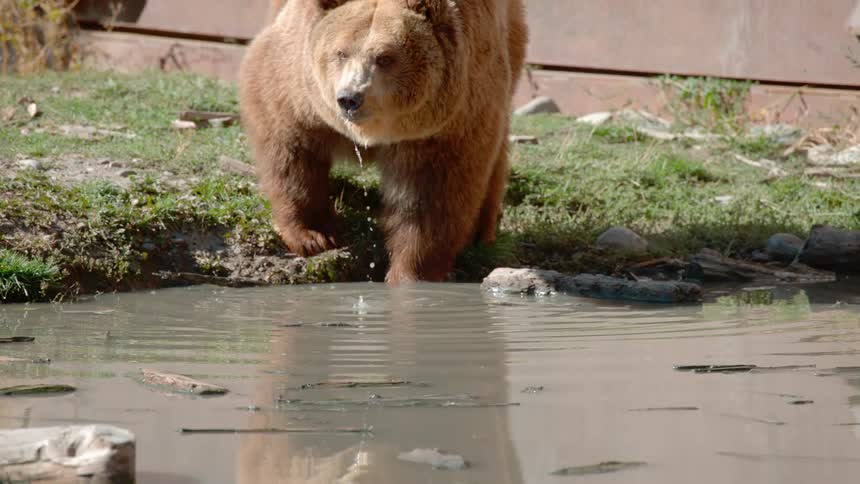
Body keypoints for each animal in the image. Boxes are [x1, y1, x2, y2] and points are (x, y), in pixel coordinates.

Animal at [240, 0, 528, 283]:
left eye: (385, 57)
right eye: (341, 53)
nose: (349, 98)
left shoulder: (448, 122)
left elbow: (432, 194)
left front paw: (410, 272)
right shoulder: (301, 85)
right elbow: (289, 142)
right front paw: (314, 236)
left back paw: (481, 232)